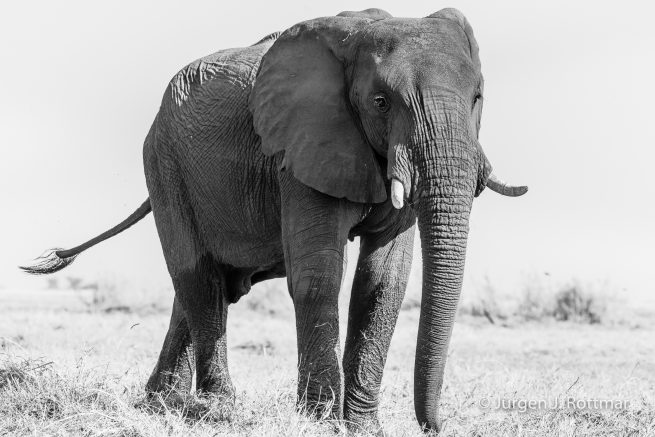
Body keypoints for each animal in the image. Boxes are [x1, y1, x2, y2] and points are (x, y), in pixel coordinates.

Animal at [21, 8, 527, 434]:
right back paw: (217, 410)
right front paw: (319, 423)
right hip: (163, 164)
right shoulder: (301, 147)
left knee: (206, 286)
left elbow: (382, 283)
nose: (434, 426)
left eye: (477, 97)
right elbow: (319, 276)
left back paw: (162, 405)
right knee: (198, 278)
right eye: (381, 102)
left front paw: (364, 428)